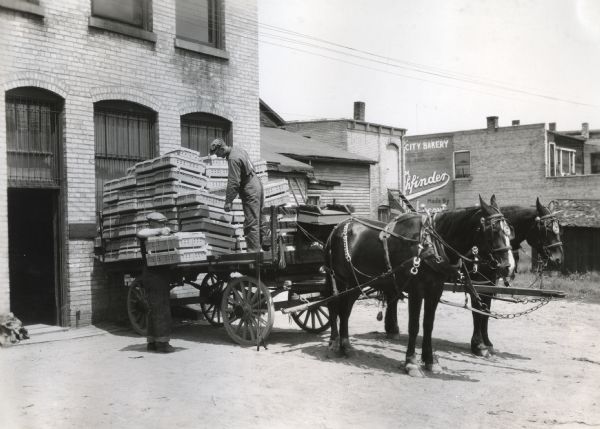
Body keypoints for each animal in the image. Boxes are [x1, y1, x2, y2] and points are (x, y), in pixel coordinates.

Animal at [326, 196, 512, 376]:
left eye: (509, 230)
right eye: (494, 230)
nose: (508, 266)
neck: (429, 245)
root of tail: (337, 228)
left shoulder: (435, 290)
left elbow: (428, 325)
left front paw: (430, 361)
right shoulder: (416, 290)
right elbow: (414, 326)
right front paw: (411, 363)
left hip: (356, 283)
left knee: (344, 310)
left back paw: (344, 344)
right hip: (343, 281)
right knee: (337, 308)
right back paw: (338, 344)